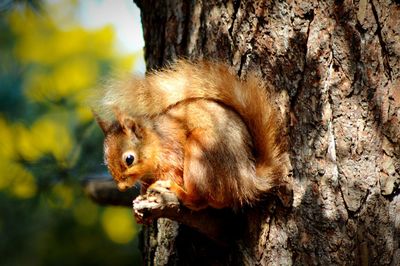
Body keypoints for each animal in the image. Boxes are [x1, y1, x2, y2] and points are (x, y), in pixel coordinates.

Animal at [94, 60, 290, 212]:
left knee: (199, 201)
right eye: (106, 162)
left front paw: (162, 184)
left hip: (200, 154)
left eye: (129, 159)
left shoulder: (172, 153)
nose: (121, 187)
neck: (156, 140)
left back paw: (179, 192)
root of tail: (246, 182)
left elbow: (172, 172)